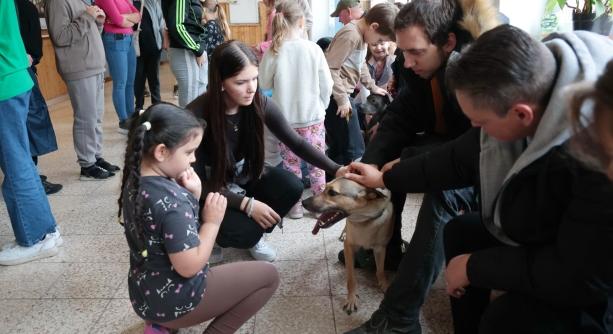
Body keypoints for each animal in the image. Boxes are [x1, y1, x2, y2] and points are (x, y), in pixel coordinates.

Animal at [300, 177, 392, 314]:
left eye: (332, 193)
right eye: (325, 187)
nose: (303, 202)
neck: (364, 221)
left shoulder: (380, 248)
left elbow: (380, 270)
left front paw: (384, 285)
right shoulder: (349, 247)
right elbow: (351, 279)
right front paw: (351, 299)